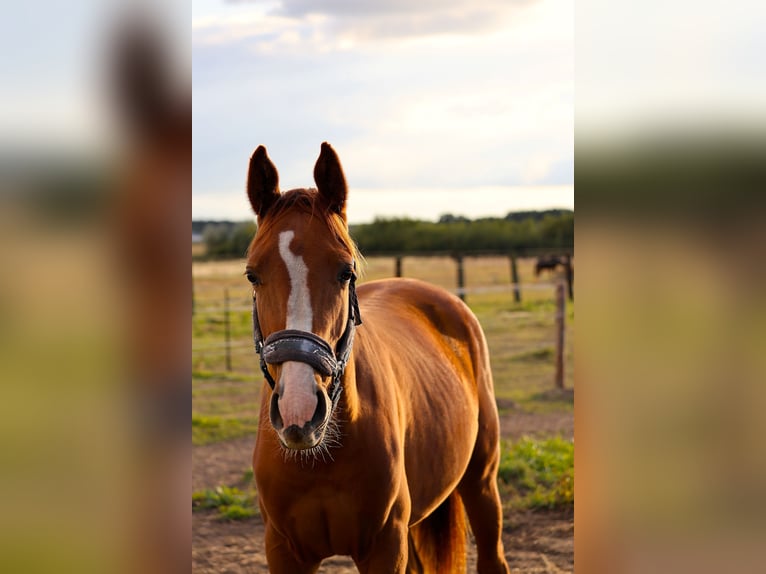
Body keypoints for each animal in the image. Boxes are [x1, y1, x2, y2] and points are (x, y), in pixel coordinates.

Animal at [246, 143, 510, 573]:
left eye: (346, 272)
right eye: (253, 274)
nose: (299, 410)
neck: (322, 459)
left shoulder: (385, 545)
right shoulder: (283, 549)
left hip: (482, 482)